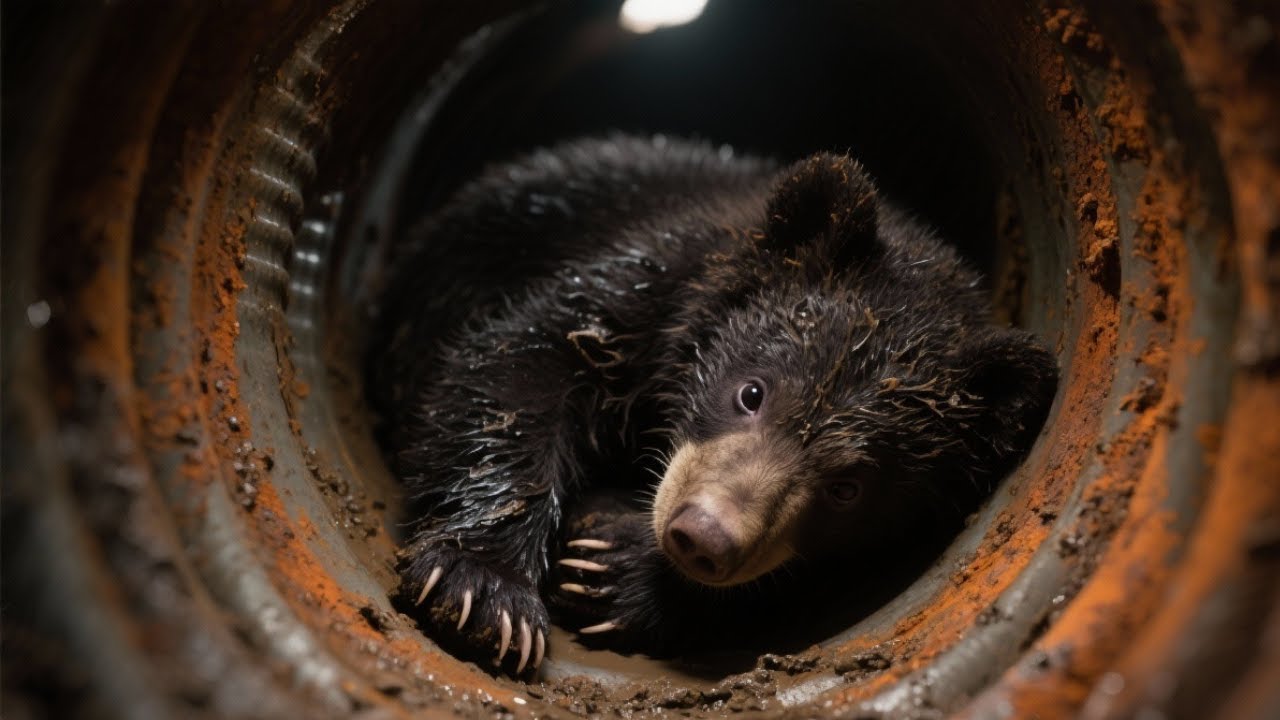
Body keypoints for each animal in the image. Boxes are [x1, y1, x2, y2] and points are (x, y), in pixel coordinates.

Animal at [371, 135, 1057, 675]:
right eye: (750, 393)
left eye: (849, 489)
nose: (703, 536)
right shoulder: (646, 278)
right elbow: (517, 365)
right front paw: (484, 592)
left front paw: (611, 571)